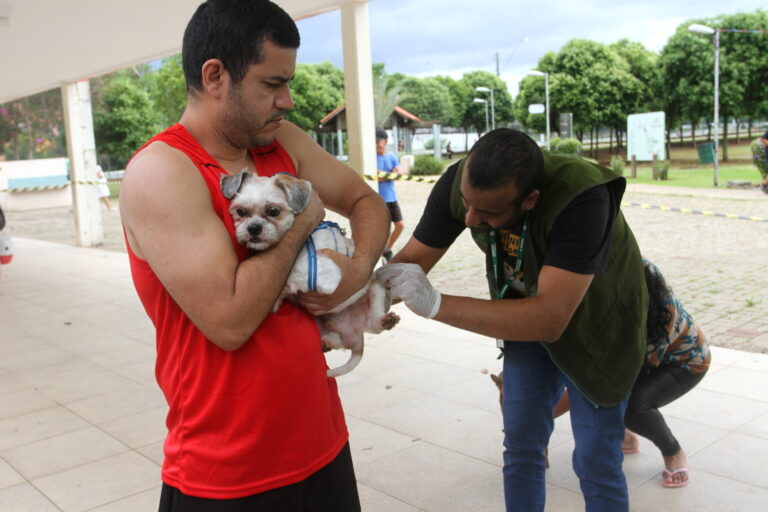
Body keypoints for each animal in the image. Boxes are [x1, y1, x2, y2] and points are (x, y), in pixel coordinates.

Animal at [219, 169, 400, 376]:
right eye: (241, 211)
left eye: (273, 211)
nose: (253, 227)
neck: (303, 243)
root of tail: (354, 333)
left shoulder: (325, 274)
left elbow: (293, 277)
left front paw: (279, 296)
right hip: (320, 321)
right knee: (337, 338)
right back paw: (329, 340)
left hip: (377, 289)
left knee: (374, 324)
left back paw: (385, 321)